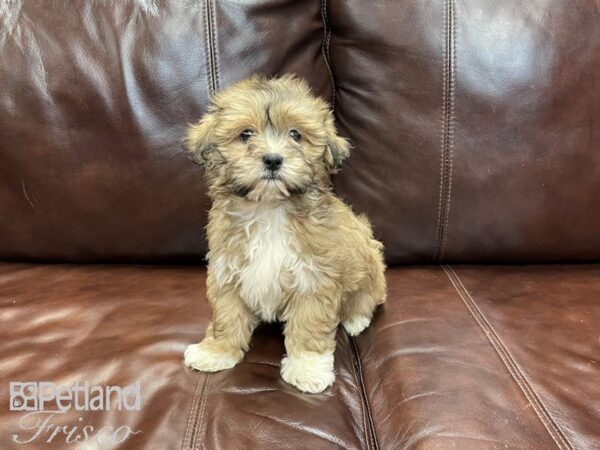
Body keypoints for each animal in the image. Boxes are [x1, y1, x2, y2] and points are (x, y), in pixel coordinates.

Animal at [183, 75, 386, 392]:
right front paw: (216, 351)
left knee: (368, 297)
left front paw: (307, 369)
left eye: (295, 135)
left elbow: (309, 326)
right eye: (246, 135)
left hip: (369, 263)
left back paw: (355, 319)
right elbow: (227, 315)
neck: (269, 208)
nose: (273, 159)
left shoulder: (314, 279)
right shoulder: (227, 271)